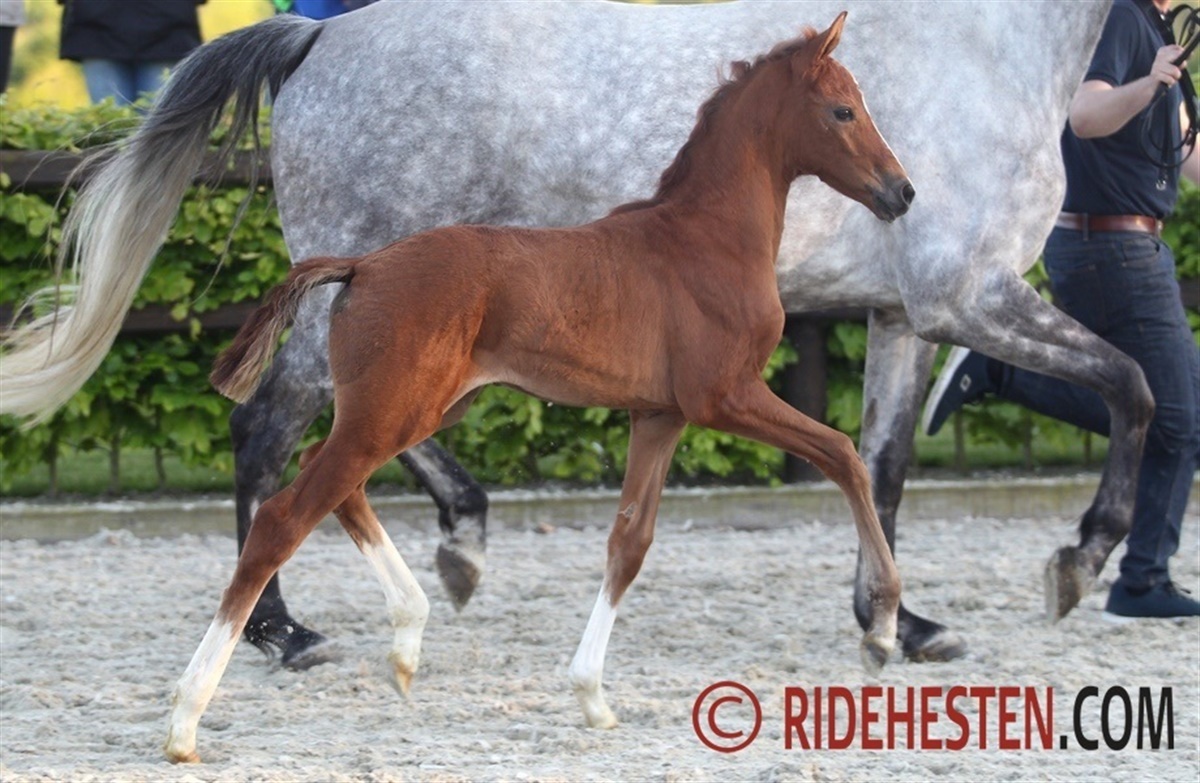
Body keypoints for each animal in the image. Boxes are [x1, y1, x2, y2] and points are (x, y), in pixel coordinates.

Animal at [0, 1, 1132, 667]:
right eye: (844, 111)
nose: (902, 192)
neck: (988, 52)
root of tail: (319, 34)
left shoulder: (904, 315)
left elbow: (884, 463)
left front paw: (900, 619)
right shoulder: (969, 296)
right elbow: (1134, 384)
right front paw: (1083, 558)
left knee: (360, 436)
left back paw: (458, 543)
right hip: (363, 299)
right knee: (274, 430)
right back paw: (285, 629)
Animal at [158, 15, 907, 761]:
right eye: (843, 110)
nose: (902, 192)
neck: (706, 239)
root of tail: (362, 264)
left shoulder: (659, 414)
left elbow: (629, 543)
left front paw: (593, 698)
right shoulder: (724, 396)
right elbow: (844, 454)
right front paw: (882, 629)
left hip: (414, 409)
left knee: (330, 478)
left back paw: (408, 638)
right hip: (395, 411)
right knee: (285, 516)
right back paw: (188, 717)